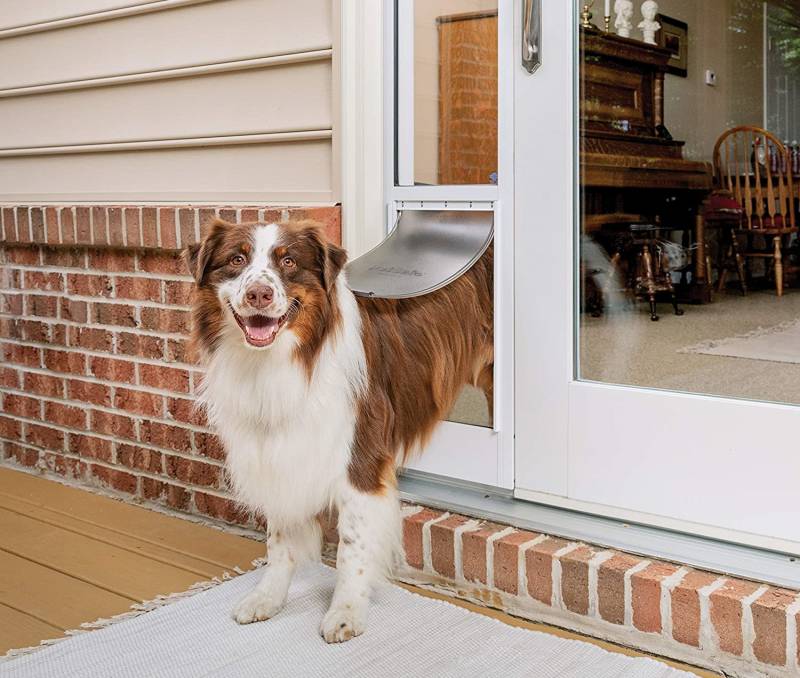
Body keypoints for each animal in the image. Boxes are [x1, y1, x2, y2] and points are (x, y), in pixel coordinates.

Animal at [186, 220, 494, 644]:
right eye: (236, 259)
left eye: (288, 261)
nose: (259, 293)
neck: (283, 361)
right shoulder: (279, 452)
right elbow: (278, 537)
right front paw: (268, 597)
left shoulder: (360, 457)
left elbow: (352, 544)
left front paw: (346, 611)